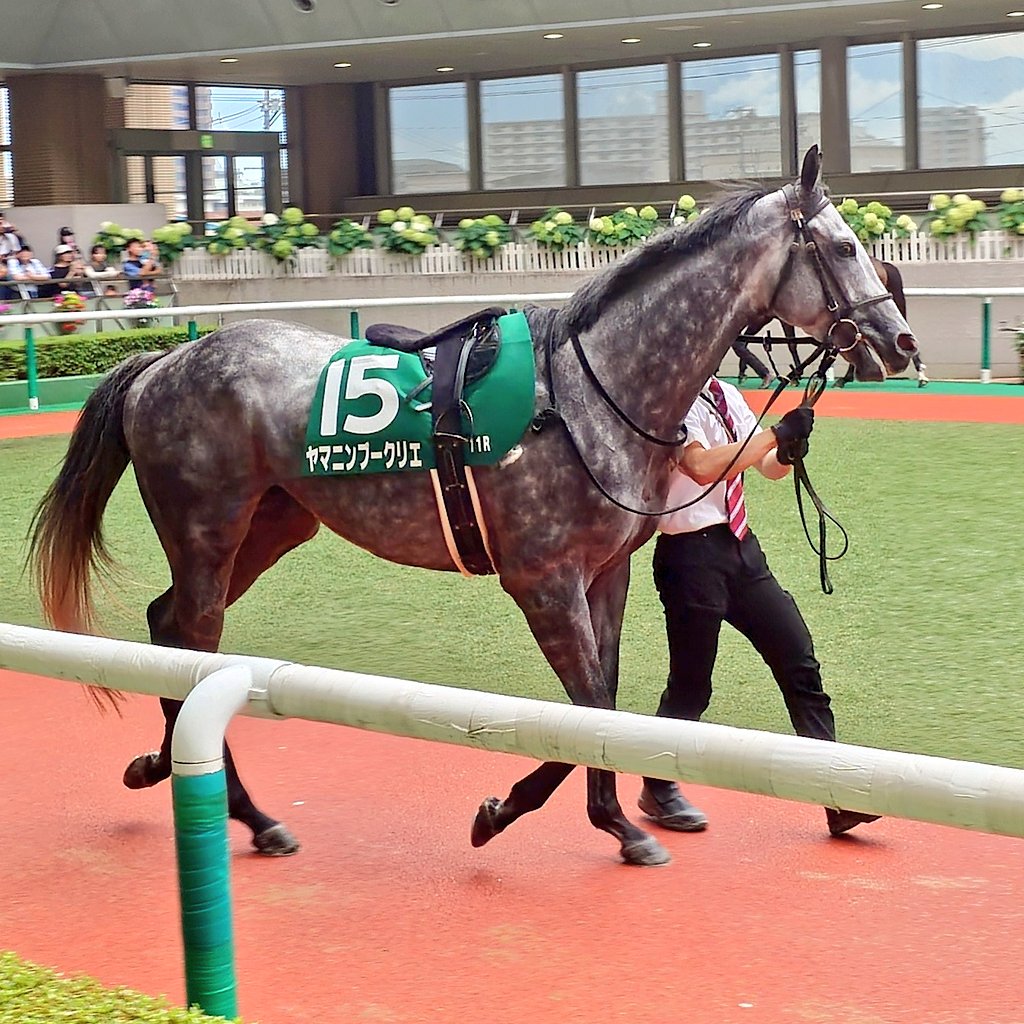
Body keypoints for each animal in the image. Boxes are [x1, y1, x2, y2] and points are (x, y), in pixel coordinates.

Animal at [28, 147, 917, 867]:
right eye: (844, 246)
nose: (901, 342)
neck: (589, 391)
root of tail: (163, 360)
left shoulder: (606, 575)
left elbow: (607, 701)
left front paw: (614, 822)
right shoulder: (543, 580)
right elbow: (587, 703)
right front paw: (522, 813)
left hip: (275, 523)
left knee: (169, 625)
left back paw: (167, 768)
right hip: (207, 528)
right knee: (193, 641)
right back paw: (243, 808)